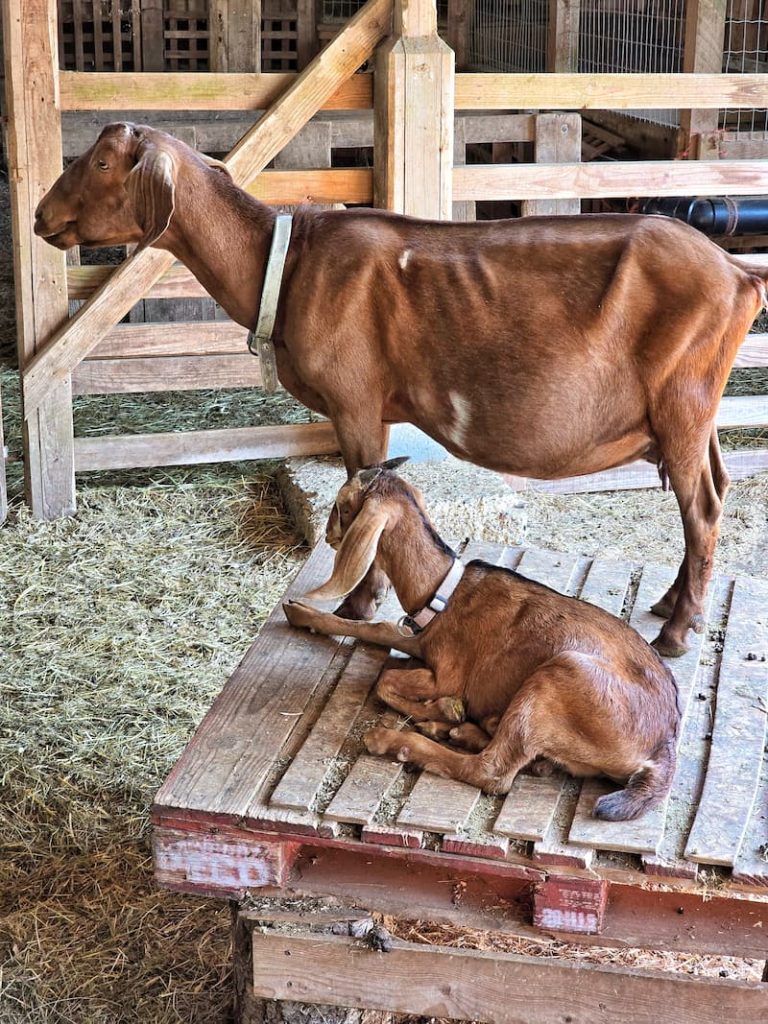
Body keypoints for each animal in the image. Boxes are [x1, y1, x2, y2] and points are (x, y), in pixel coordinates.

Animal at [36, 123, 768, 651]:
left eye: (103, 163)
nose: (41, 216)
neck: (289, 263)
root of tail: (738, 272)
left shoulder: (356, 400)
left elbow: (364, 484)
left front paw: (359, 603)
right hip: (693, 411)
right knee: (714, 487)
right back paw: (671, 603)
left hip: (682, 401)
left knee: (702, 507)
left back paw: (678, 631)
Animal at [286, 460, 684, 819]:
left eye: (342, 505)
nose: (327, 537)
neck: (445, 591)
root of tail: (664, 744)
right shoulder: (419, 636)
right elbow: (377, 629)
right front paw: (301, 614)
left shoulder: (446, 674)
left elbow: (385, 680)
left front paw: (445, 708)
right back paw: (467, 730)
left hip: (561, 673)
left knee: (492, 771)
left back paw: (396, 739)